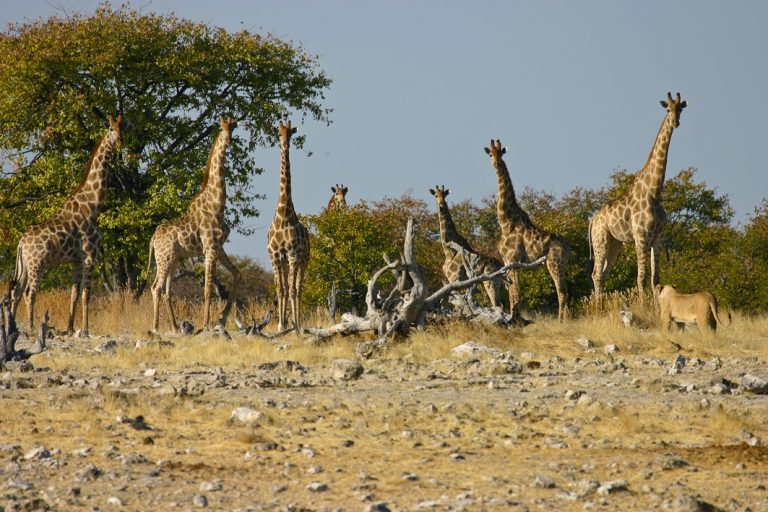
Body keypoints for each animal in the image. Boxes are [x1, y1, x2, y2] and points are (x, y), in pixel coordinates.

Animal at [9, 113, 123, 334]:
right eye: (110, 128)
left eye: (123, 127)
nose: (120, 141)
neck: (93, 204)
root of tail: (21, 244)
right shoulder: (89, 255)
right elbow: (87, 295)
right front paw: (86, 330)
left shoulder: (76, 260)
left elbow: (74, 295)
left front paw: (71, 329)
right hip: (37, 264)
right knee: (29, 293)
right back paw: (32, 327)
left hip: (24, 265)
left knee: (16, 292)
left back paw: (13, 327)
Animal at [146, 115, 237, 332]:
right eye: (221, 128)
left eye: (233, 127)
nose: (229, 140)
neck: (217, 205)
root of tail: (153, 239)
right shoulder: (210, 248)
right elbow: (207, 289)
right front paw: (206, 324)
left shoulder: (219, 247)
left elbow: (237, 275)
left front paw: (223, 317)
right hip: (164, 257)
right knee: (156, 288)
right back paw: (155, 327)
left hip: (173, 258)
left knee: (166, 290)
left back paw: (174, 326)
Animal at [486, 140, 568, 322]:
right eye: (490, 154)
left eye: (500, 153)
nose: (495, 163)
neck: (506, 221)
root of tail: (568, 249)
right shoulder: (507, 262)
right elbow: (512, 293)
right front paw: (512, 317)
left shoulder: (513, 260)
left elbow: (516, 293)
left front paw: (516, 319)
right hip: (560, 264)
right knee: (566, 290)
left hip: (554, 263)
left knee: (561, 291)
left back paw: (561, 321)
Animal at [588, 91, 688, 304]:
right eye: (667, 109)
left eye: (680, 109)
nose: (675, 122)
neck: (654, 192)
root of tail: (593, 221)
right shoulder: (641, 236)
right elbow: (641, 277)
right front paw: (642, 307)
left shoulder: (658, 237)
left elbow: (655, 279)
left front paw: (656, 307)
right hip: (601, 240)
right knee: (596, 274)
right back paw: (597, 308)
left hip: (615, 244)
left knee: (603, 274)